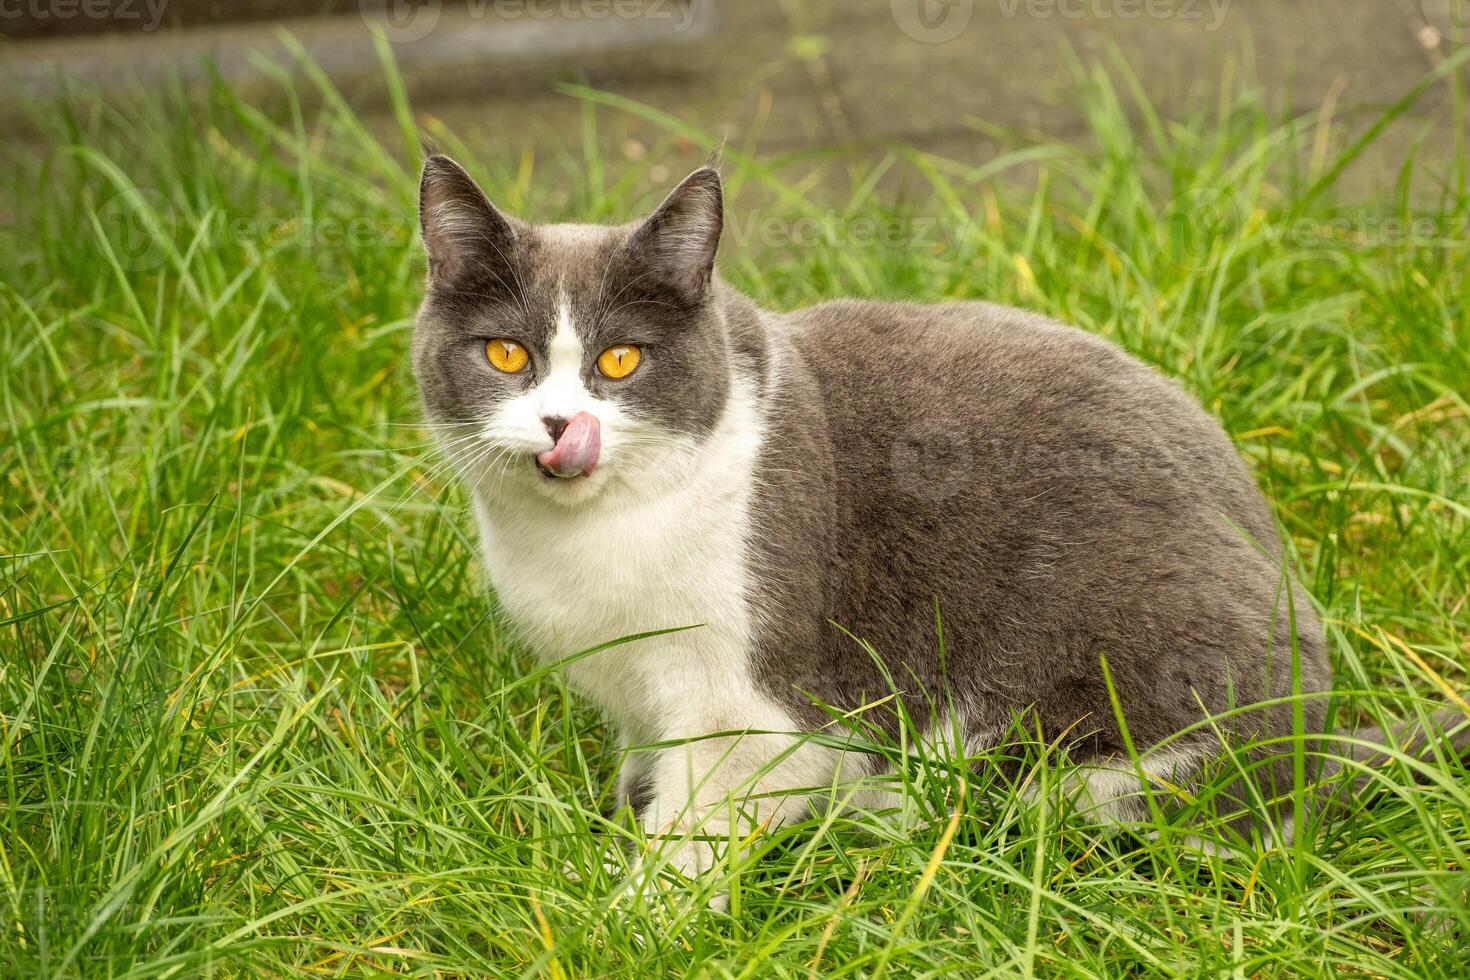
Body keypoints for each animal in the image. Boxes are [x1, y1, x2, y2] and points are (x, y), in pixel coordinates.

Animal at [408, 155, 1464, 905]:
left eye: (622, 360)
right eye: (506, 354)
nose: (561, 425)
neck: (585, 554)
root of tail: (1325, 744)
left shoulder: (750, 707)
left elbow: (696, 831)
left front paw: (629, 914)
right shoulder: (639, 707)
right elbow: (642, 780)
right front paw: (598, 846)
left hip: (1107, 736)